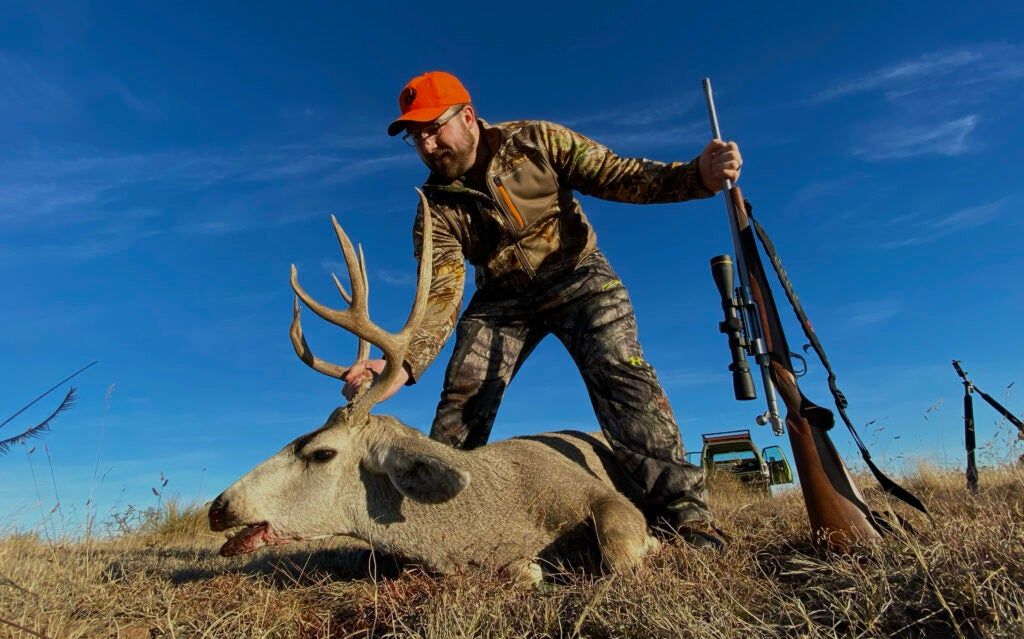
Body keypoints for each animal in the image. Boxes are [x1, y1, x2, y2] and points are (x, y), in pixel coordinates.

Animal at [207, 191, 660, 586]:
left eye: (321, 453)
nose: (217, 507)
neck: (497, 512)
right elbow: (521, 572)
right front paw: (530, 568)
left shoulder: (595, 493)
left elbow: (618, 551)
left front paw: (652, 542)